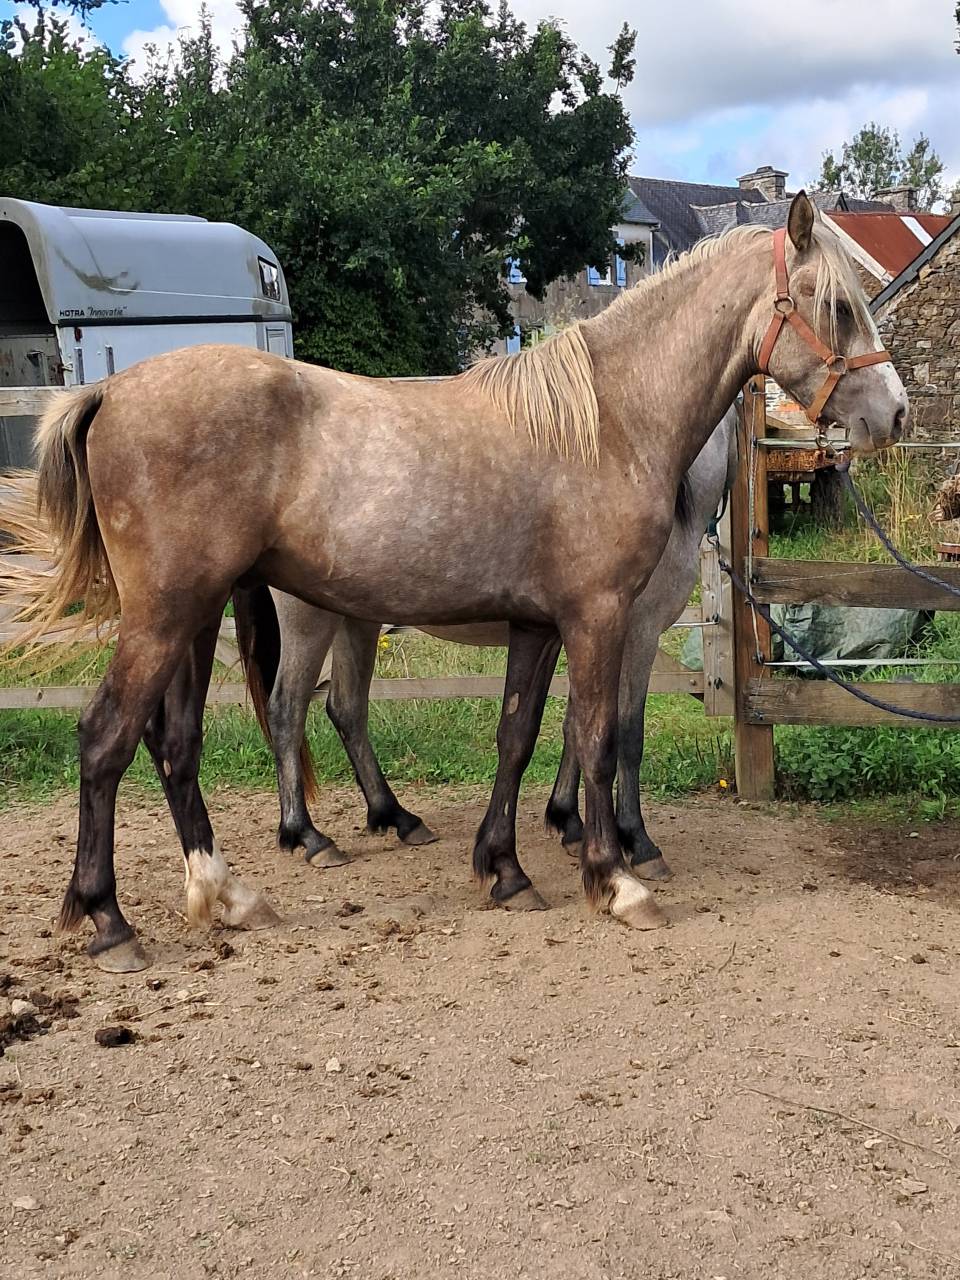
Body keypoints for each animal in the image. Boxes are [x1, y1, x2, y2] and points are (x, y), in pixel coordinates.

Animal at [231, 406, 740, 883]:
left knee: (346, 708)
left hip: (356, 620)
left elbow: (575, 726)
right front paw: (635, 840)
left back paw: (396, 817)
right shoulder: (635, 633)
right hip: (309, 621)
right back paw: (308, 836)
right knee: (287, 709)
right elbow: (626, 734)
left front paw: (569, 821)